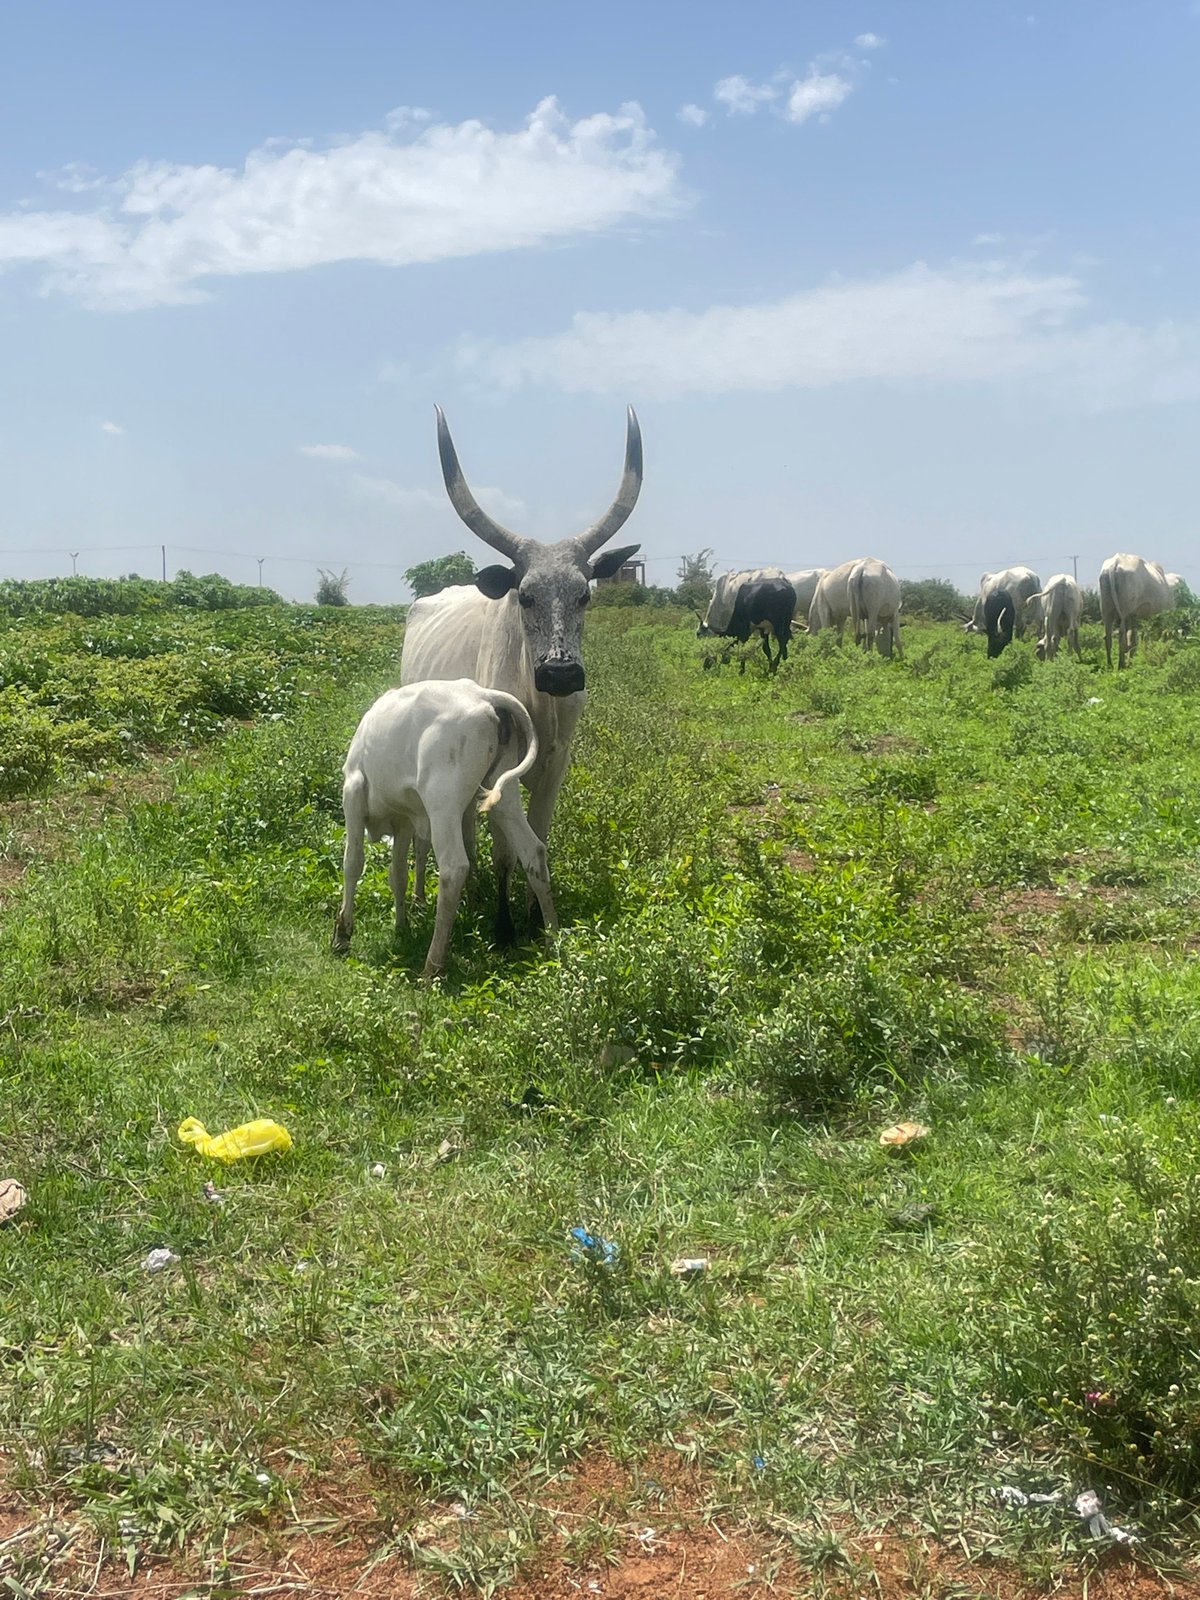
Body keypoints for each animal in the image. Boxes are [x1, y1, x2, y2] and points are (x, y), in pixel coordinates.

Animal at [332, 680, 557, 979]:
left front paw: (343, 933)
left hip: (443, 803)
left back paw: (432, 967)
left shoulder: (354, 792)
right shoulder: (404, 819)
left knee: (454, 868)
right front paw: (402, 927)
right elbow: (398, 874)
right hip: (504, 796)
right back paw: (555, 943)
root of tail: (484, 695)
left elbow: (352, 864)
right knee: (533, 853)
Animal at [400, 406, 641, 942]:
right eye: (525, 596)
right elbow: (504, 850)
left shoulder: (558, 764)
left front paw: (533, 918)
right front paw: (504, 925)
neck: (539, 703)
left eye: (584, 595)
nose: (561, 673)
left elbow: (541, 836)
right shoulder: (502, 772)